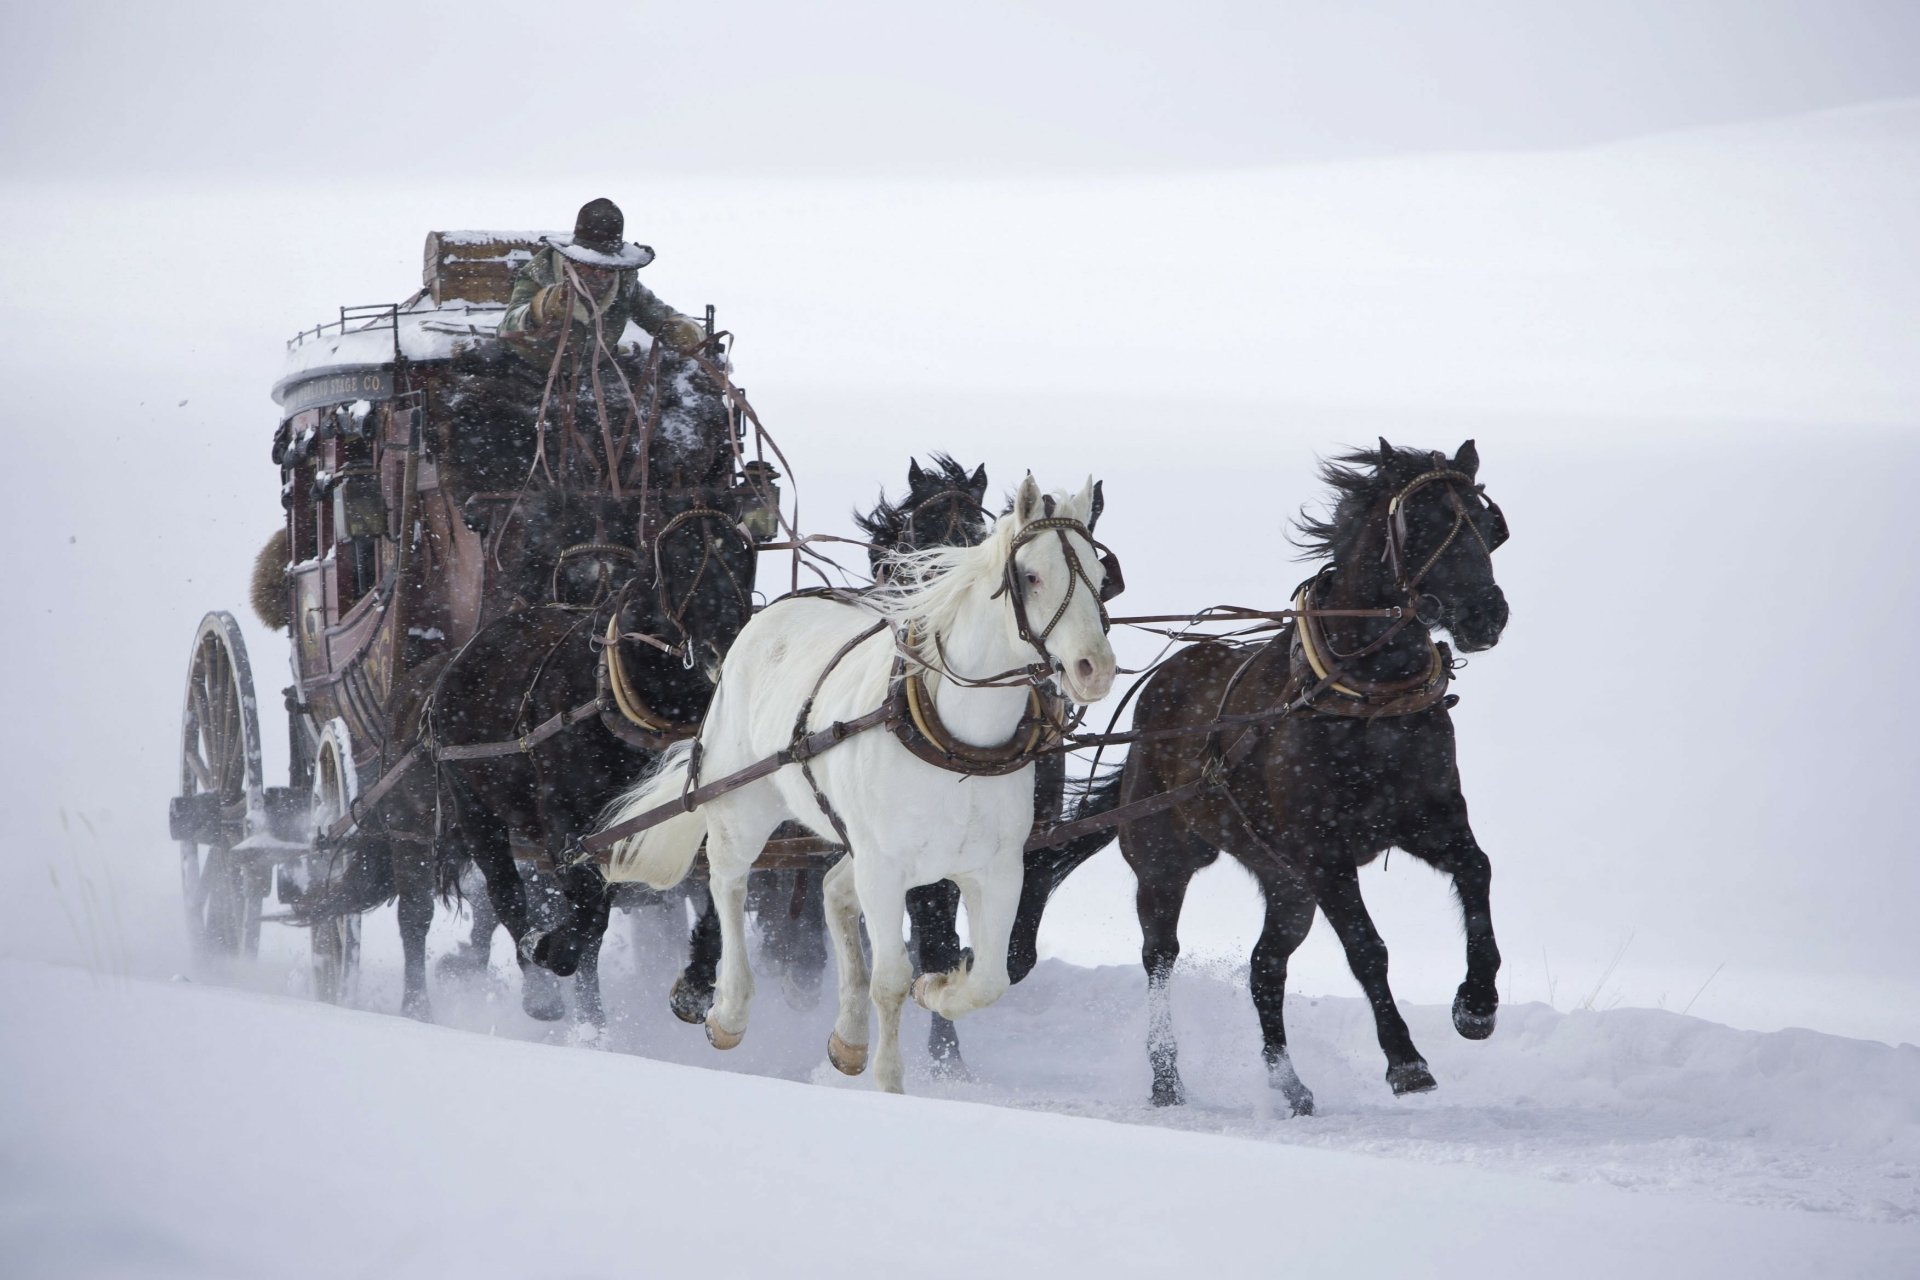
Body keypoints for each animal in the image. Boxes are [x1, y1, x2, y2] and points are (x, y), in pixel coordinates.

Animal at [602, 475, 1119, 1092]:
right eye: (1033, 576)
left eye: (1101, 576)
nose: (1096, 669)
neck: (955, 742)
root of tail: (765, 617)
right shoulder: (885, 866)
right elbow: (890, 979)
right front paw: (890, 1084)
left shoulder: (995, 868)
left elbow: (987, 979)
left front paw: (939, 988)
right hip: (742, 805)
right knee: (727, 884)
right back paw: (729, 1011)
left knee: (830, 891)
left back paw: (847, 1037)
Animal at [1011, 439, 1510, 1113]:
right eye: (1424, 522)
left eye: (1487, 526)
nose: (1488, 614)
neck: (1363, 697)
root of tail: (1159, 693)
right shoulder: (1324, 855)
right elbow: (1367, 949)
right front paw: (1406, 1060)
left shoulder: (1429, 820)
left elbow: (1477, 872)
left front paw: (1476, 1005)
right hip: (1167, 860)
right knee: (1160, 956)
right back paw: (1166, 1077)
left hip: (1285, 884)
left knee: (1264, 966)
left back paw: (1288, 1083)